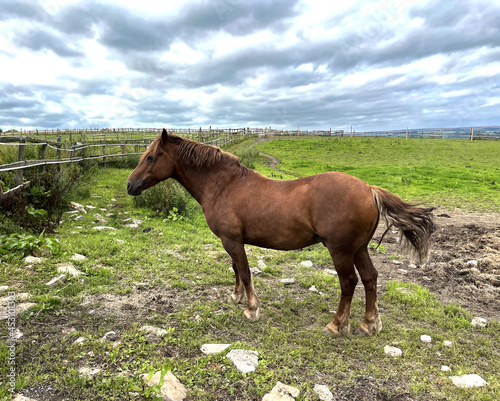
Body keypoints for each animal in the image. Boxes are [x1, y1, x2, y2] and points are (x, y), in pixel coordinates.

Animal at [128, 130, 434, 336]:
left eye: (151, 157)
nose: (130, 185)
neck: (224, 185)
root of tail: (369, 189)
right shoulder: (231, 241)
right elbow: (236, 269)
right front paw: (236, 297)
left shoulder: (232, 240)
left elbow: (245, 271)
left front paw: (251, 308)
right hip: (359, 249)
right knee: (370, 278)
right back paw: (369, 324)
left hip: (341, 251)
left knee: (349, 283)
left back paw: (336, 325)